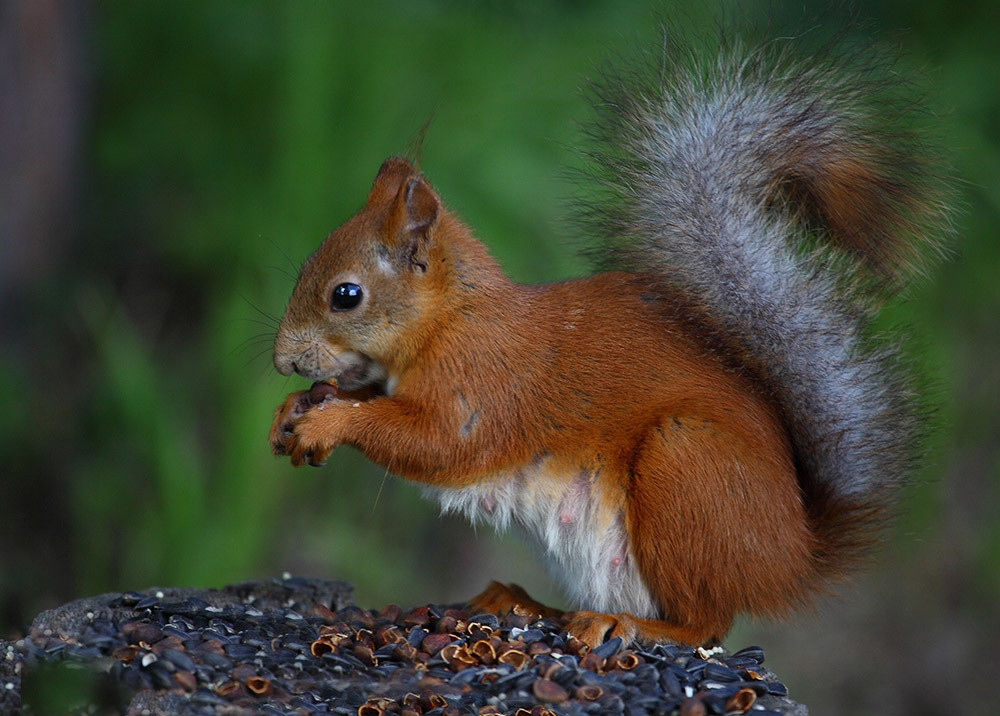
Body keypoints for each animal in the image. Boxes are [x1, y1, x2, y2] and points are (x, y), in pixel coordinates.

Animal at [266, 35, 944, 648]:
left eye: (346, 295)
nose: (281, 360)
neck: (449, 321)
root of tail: (791, 560)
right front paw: (292, 410)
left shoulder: (483, 382)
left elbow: (435, 444)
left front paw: (331, 422)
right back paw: (522, 602)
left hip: (688, 468)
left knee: (704, 623)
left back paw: (625, 624)